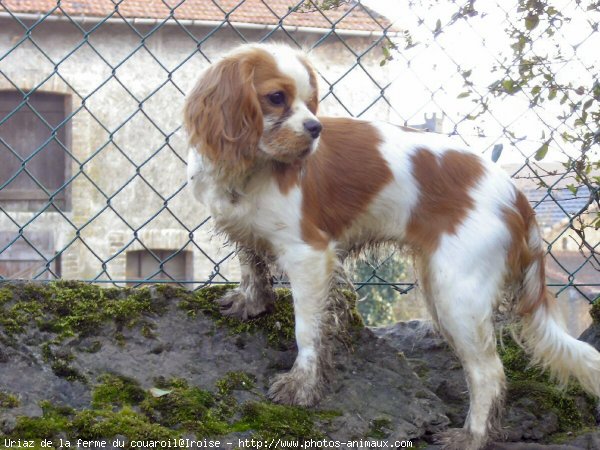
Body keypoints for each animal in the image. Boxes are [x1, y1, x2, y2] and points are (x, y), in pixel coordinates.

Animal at [184, 43, 600, 450]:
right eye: (276, 98)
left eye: (310, 102)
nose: (316, 127)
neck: (252, 166)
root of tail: (516, 195)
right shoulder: (247, 231)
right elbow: (251, 265)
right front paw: (250, 303)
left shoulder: (309, 255)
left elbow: (307, 330)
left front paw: (301, 386)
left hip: (456, 294)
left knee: (488, 373)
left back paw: (471, 437)